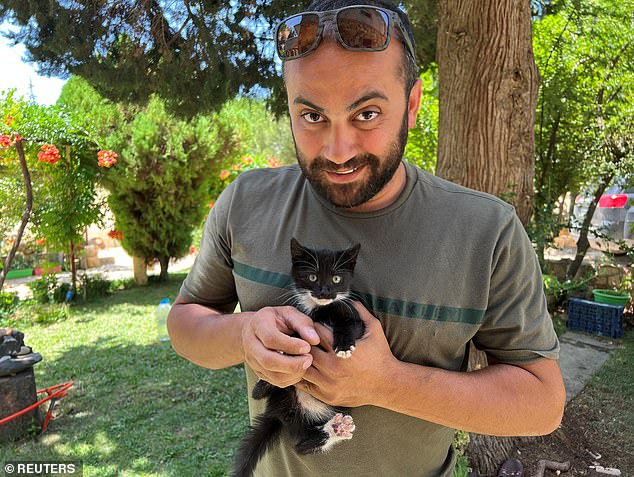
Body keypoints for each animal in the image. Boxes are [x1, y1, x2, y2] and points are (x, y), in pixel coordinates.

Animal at [230, 238, 362, 476]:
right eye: (313, 277)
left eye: (336, 279)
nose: (324, 292)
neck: (319, 310)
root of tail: (280, 413)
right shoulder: (299, 316)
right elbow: (295, 333)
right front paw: (285, 348)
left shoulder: (354, 316)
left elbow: (349, 324)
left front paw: (344, 345)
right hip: (282, 395)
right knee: (259, 397)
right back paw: (264, 383)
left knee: (303, 446)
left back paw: (336, 429)